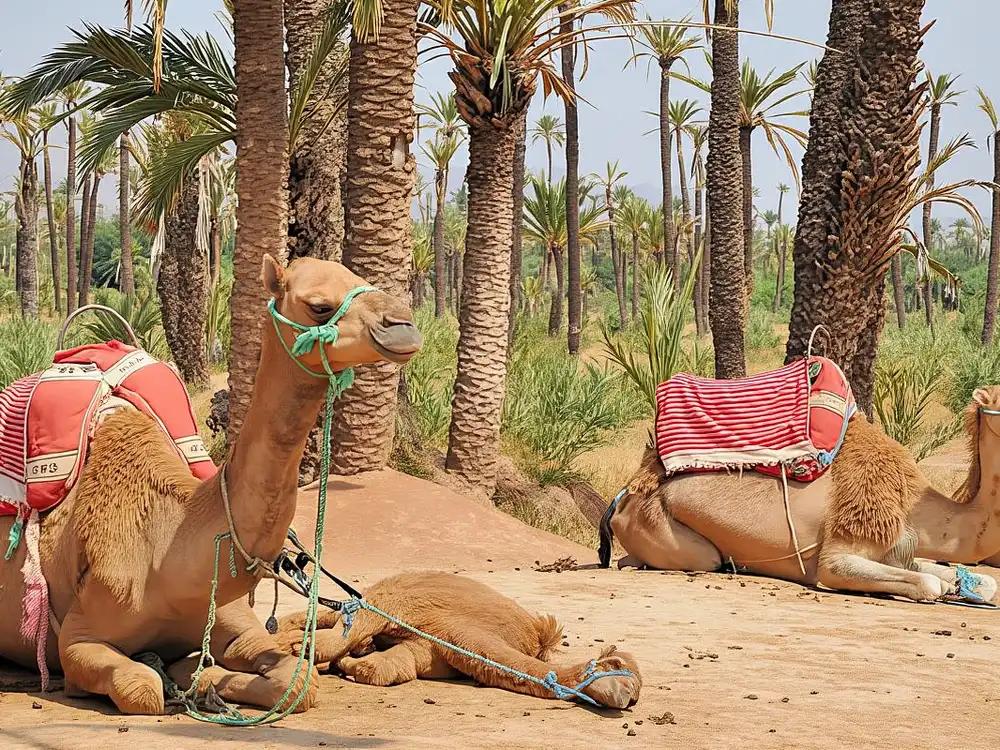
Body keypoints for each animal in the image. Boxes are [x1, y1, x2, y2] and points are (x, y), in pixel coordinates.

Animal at [0, 255, 423, 715]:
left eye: (360, 278)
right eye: (319, 306)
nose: (404, 325)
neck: (163, 555)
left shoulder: (235, 622)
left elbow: (299, 682)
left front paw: (198, 677)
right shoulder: (78, 637)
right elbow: (142, 689)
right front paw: (174, 677)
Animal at [273, 571, 642, 709]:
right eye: (617, 666)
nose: (630, 696)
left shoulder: (432, 647)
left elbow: (384, 669)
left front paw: (349, 662)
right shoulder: (416, 610)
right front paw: (298, 648)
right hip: (395, 588)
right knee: (345, 611)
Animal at [601, 387, 1000, 604]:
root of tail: (622, 500)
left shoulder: (898, 549)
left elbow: (985, 582)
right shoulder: (842, 550)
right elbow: (929, 583)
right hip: (669, 532)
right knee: (698, 559)